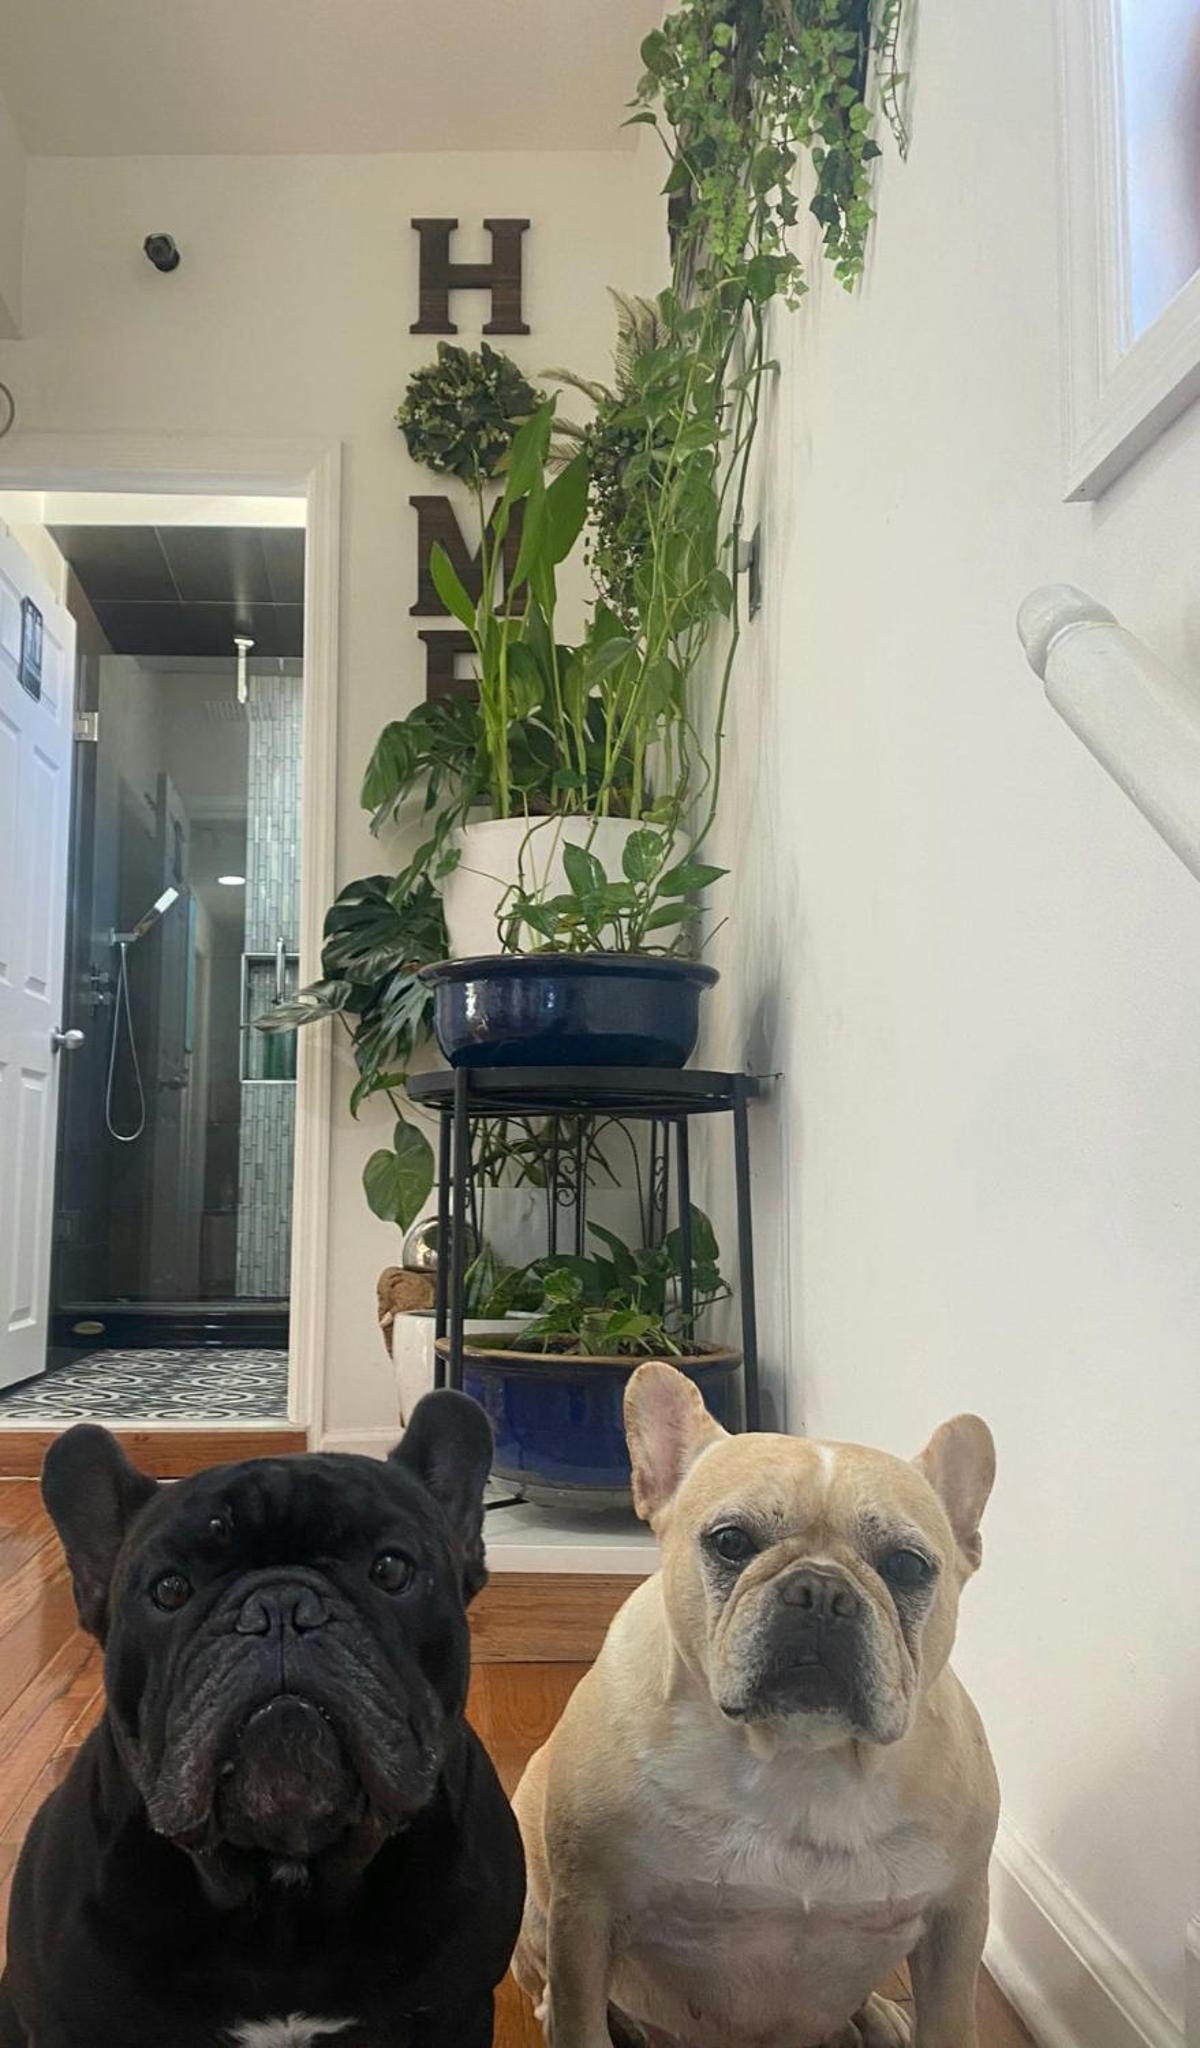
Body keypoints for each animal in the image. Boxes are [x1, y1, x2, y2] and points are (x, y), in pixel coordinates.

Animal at [513, 1363, 999, 2048]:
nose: (821, 1591)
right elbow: (581, 2016)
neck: (799, 1756)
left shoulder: (957, 1923)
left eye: (906, 1565)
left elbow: (948, 2023)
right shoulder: (586, 1913)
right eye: (730, 1541)